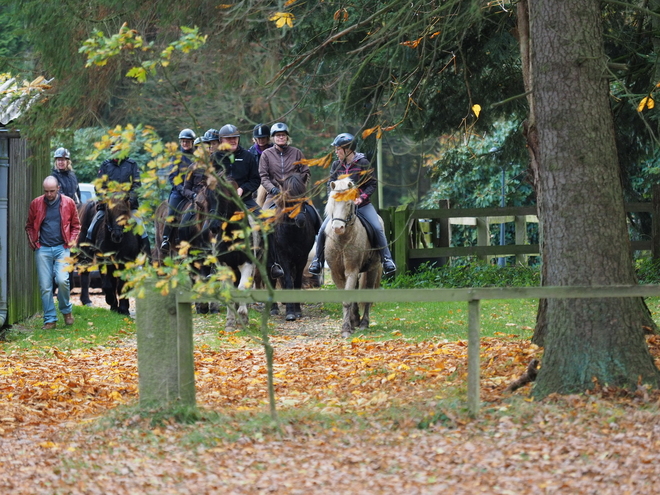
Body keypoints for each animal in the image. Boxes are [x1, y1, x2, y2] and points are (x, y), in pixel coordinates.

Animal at [266, 173, 320, 322]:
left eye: (303, 195)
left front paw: (297, 310)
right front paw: (290, 313)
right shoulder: (283, 257)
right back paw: (273, 308)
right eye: (288, 197)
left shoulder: (302, 258)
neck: (293, 230)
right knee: (271, 279)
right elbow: (289, 281)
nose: (300, 220)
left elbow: (296, 281)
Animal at [324, 177, 382, 338]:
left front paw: (345, 329)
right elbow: (347, 297)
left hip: (373, 269)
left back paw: (363, 323)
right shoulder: (336, 273)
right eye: (332, 202)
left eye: (349, 204)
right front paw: (349, 323)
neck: (342, 240)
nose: (337, 228)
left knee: (368, 294)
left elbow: (347, 299)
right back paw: (355, 320)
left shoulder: (352, 270)